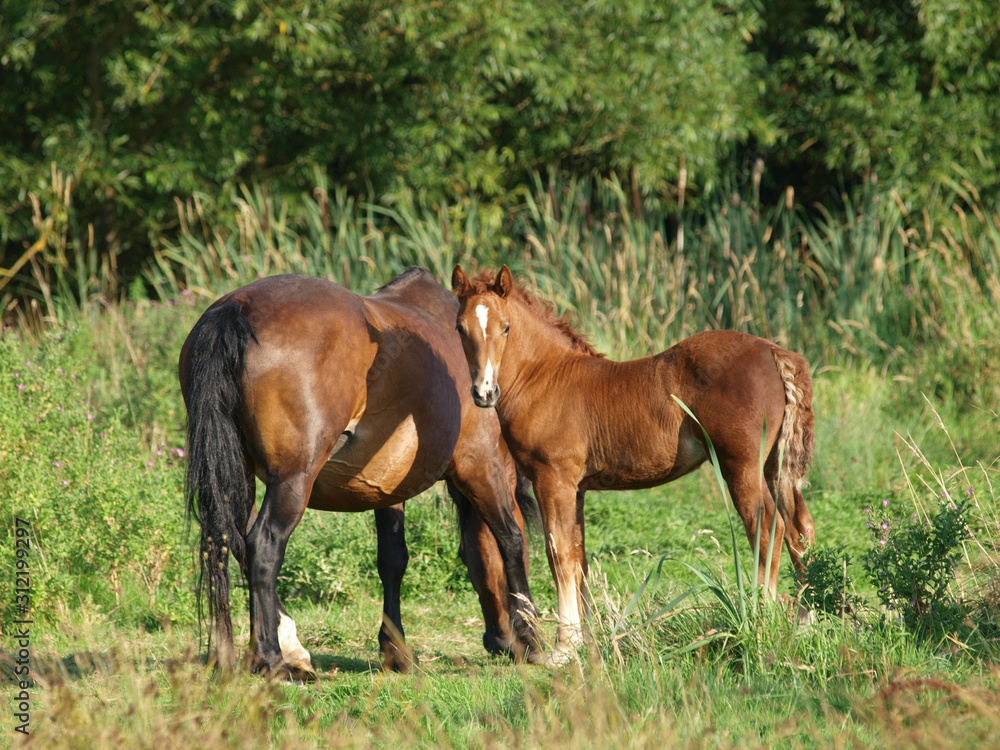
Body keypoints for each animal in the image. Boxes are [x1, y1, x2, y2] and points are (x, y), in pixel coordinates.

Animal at [182, 268, 548, 680]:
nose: (500, 642)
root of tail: (235, 308)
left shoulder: (386, 487)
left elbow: (393, 559)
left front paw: (396, 650)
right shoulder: (482, 467)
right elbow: (510, 539)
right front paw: (532, 639)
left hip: (236, 473)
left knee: (229, 542)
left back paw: (264, 650)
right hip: (292, 481)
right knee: (262, 546)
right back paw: (273, 658)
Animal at [450, 266, 816, 664]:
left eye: (505, 327)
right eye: (460, 328)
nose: (484, 392)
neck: (547, 379)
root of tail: (773, 350)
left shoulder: (553, 479)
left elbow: (558, 554)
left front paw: (563, 649)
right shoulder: (576, 488)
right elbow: (578, 556)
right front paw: (588, 642)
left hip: (741, 466)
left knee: (766, 529)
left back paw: (762, 617)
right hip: (775, 464)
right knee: (799, 527)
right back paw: (805, 620)